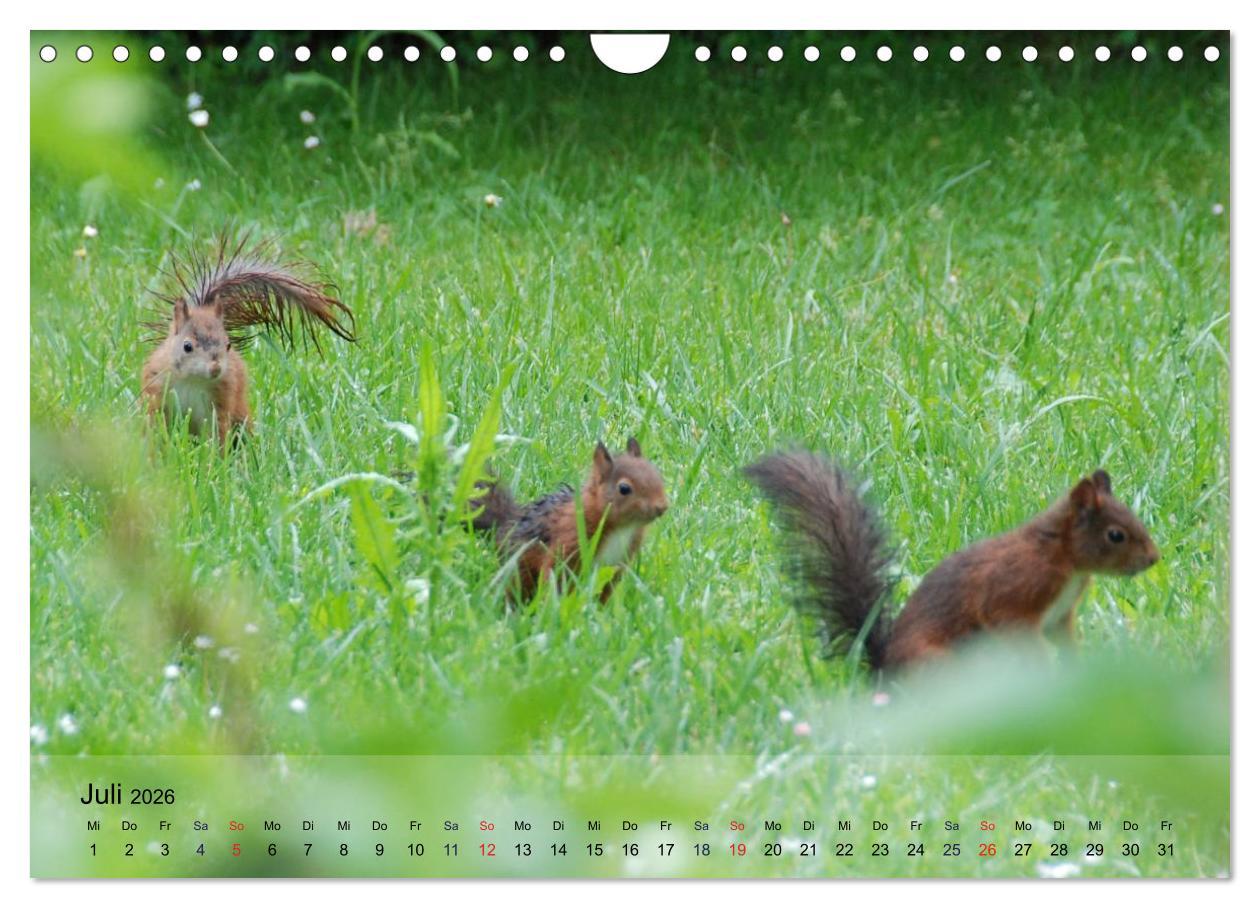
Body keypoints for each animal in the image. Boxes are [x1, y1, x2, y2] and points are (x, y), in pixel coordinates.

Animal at [140, 236, 356, 447]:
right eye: (187, 346)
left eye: (228, 345)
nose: (216, 369)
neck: (193, 379)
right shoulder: (156, 391)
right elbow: (155, 426)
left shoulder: (221, 401)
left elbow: (217, 433)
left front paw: (216, 456)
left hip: (240, 411)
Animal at [470, 437, 669, 601]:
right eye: (624, 488)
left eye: (657, 475)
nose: (662, 507)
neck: (623, 528)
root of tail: (507, 523)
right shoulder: (570, 538)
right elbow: (556, 574)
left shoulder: (616, 564)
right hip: (518, 564)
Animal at [744, 451, 1160, 671]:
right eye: (1116, 535)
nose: (1154, 559)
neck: (1064, 558)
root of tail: (882, 675)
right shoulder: (1017, 588)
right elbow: (1009, 623)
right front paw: (1046, 667)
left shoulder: (1060, 615)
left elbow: (1064, 637)